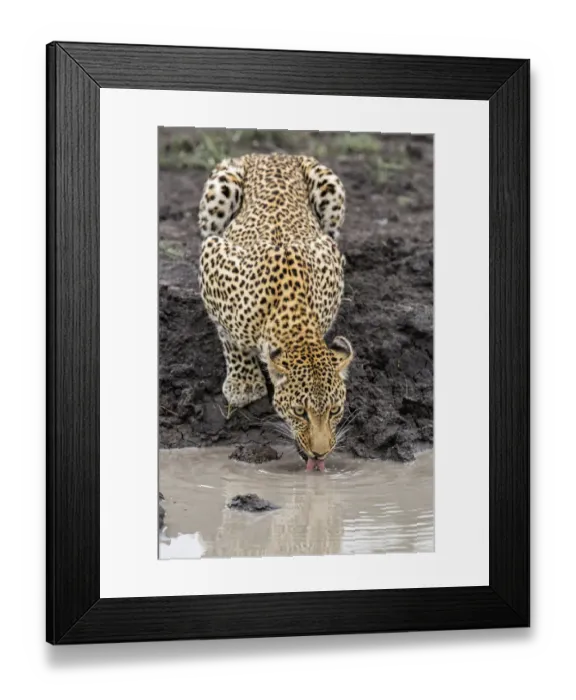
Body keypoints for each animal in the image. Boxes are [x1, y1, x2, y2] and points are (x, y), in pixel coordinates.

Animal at [198, 153, 353, 471]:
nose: (320, 454)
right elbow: (229, 336)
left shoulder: (329, 253)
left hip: (330, 189)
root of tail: (272, 154)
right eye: (300, 411)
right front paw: (244, 385)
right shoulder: (211, 259)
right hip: (220, 191)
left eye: (334, 411)